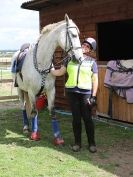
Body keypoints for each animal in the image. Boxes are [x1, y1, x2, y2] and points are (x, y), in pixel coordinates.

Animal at [11, 13, 83, 144]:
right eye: (74, 35)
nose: (80, 58)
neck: (41, 62)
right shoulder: (31, 92)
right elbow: (34, 111)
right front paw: (34, 135)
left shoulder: (50, 90)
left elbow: (52, 111)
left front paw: (58, 138)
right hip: (20, 90)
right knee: (23, 107)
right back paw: (26, 127)